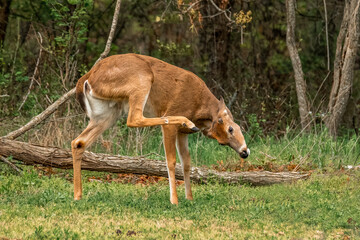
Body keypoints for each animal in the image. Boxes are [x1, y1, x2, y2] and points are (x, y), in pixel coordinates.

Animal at [71, 54, 249, 204]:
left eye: (222, 143)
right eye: (231, 129)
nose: (244, 152)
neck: (199, 106)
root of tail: (88, 77)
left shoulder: (182, 134)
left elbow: (186, 162)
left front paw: (189, 198)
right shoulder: (173, 124)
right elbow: (171, 161)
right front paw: (174, 200)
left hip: (107, 112)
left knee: (79, 141)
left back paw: (78, 195)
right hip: (141, 80)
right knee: (135, 118)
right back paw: (186, 122)